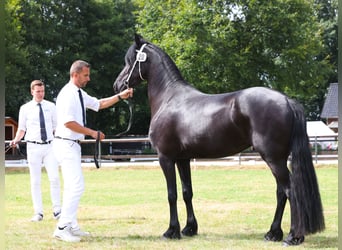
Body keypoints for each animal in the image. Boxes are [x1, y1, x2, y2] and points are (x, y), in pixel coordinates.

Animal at [113, 34, 324, 246]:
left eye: (130, 61)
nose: (118, 85)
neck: (169, 98)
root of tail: (287, 100)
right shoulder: (183, 159)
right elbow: (187, 191)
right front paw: (189, 228)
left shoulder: (165, 158)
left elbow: (171, 194)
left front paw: (171, 231)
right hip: (278, 159)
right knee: (281, 193)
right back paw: (273, 233)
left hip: (273, 158)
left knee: (290, 191)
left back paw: (292, 236)